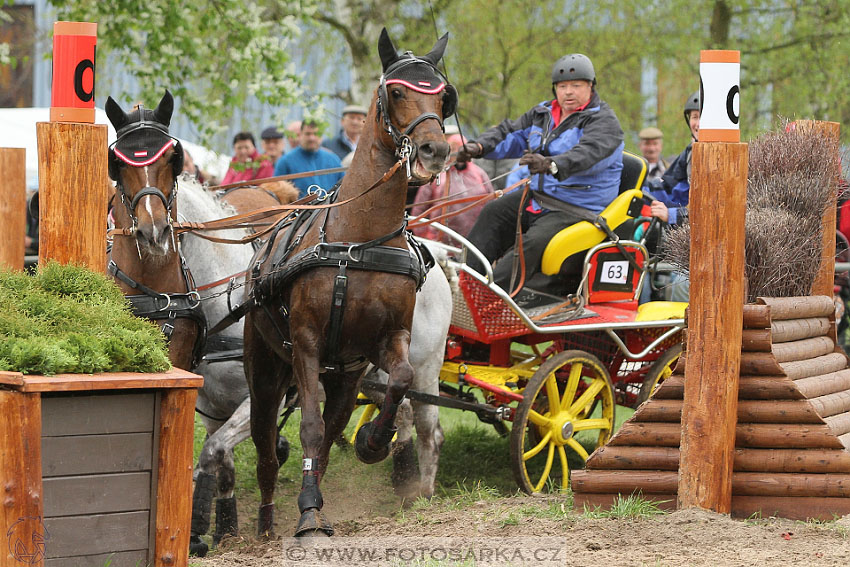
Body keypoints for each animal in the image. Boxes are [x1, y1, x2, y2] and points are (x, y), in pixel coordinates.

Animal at [243, 28, 454, 536]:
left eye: (443, 96)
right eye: (395, 91)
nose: (435, 151)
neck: (358, 241)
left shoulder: (386, 341)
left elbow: (398, 380)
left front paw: (374, 442)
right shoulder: (305, 342)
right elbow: (309, 428)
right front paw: (306, 513)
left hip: (345, 375)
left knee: (340, 427)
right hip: (265, 369)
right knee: (267, 444)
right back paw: (268, 520)